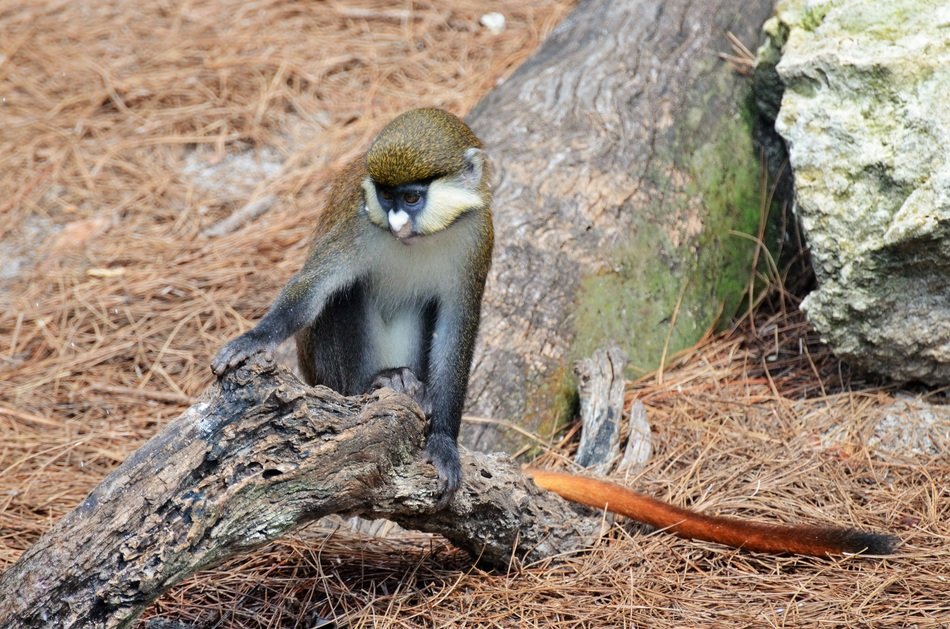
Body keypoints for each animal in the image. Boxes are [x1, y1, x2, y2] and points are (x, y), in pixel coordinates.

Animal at [211, 108, 493, 508]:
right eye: (386, 196)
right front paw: (254, 339)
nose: (395, 223)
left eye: (411, 198)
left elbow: (456, 331)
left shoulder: (477, 238)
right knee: (347, 293)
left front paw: (443, 443)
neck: (420, 240)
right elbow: (314, 287)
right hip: (327, 377)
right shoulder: (357, 227)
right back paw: (373, 384)